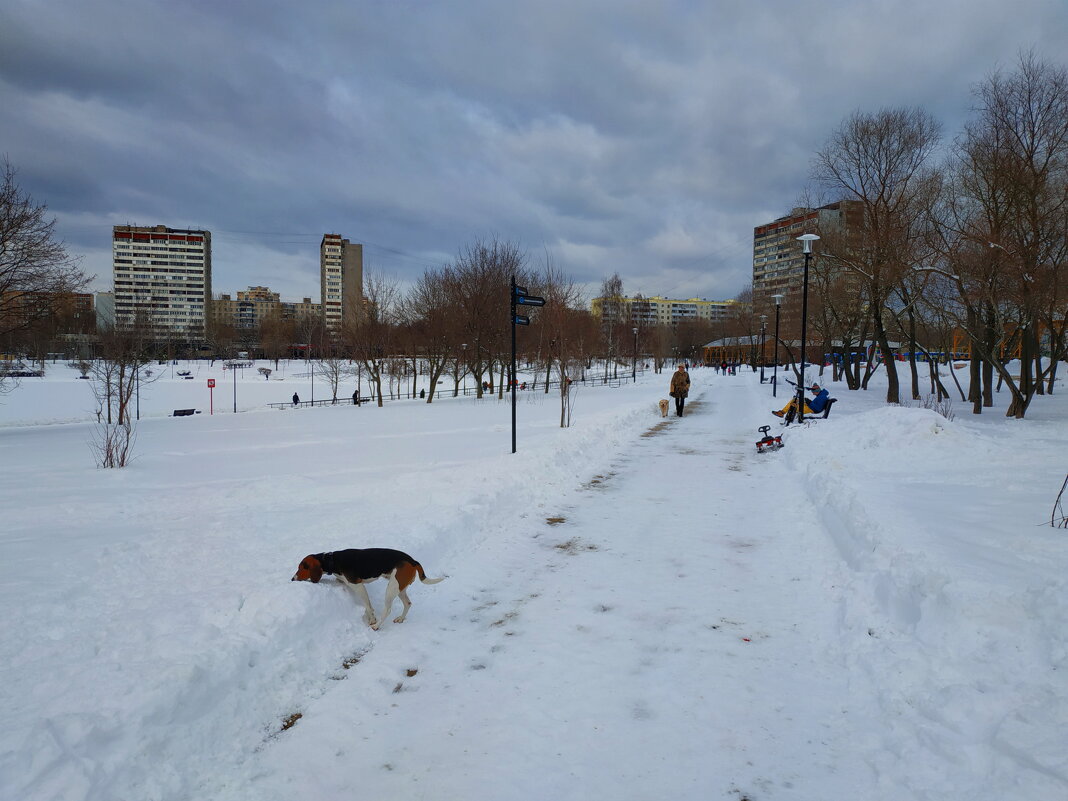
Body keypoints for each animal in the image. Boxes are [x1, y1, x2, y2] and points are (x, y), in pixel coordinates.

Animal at [290, 551, 444, 632]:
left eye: (302, 567)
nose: (292, 579)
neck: (332, 560)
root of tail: (412, 560)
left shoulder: (358, 586)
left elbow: (368, 605)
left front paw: (372, 619)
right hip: (400, 588)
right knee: (408, 603)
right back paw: (401, 618)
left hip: (392, 588)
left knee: (387, 609)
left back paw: (377, 625)